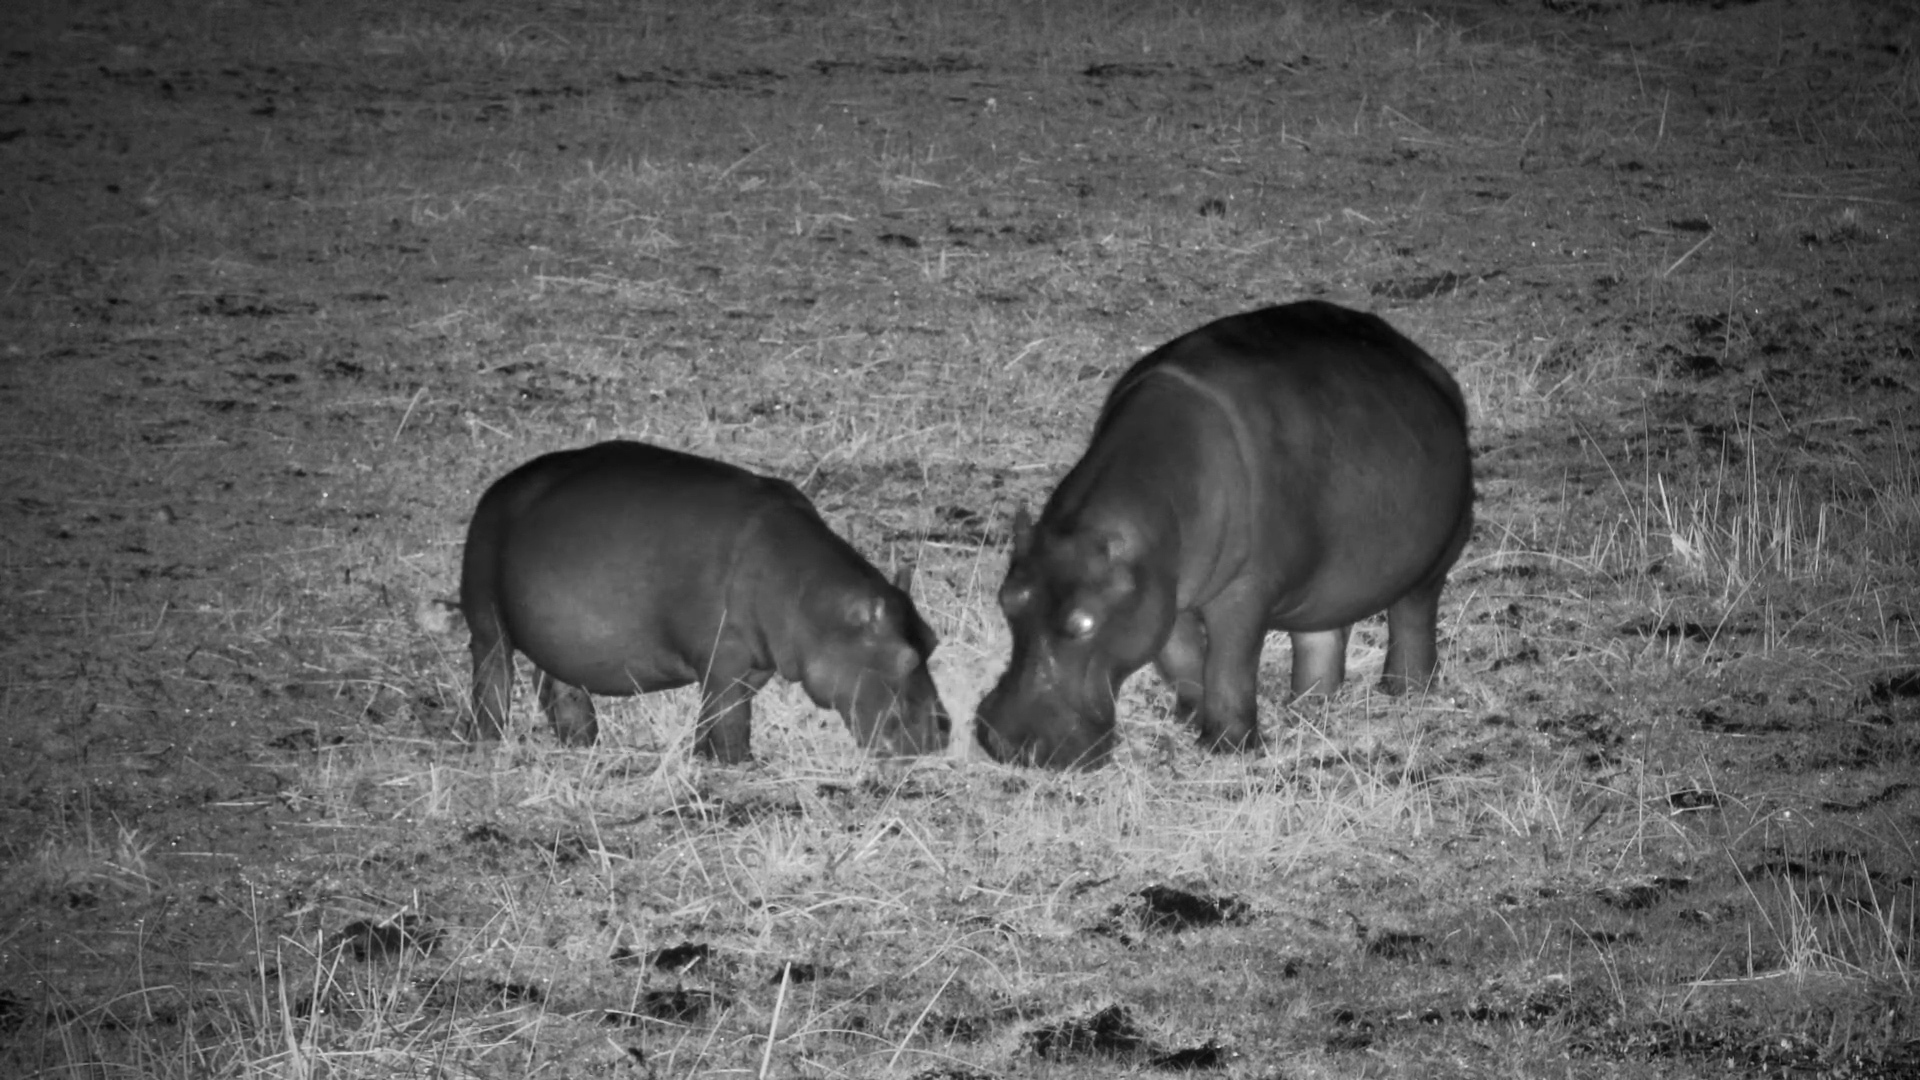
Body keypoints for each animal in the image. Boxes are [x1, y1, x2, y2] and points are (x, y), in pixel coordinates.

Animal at [458, 440, 952, 762]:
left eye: (932, 640)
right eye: (907, 658)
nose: (945, 730)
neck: (812, 603)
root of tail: (497, 488)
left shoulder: (752, 665)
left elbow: (716, 713)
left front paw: (704, 758)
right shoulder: (723, 655)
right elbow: (731, 719)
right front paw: (741, 765)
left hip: (558, 642)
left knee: (558, 687)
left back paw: (583, 744)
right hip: (485, 615)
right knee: (492, 678)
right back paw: (489, 742)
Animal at [975, 300, 1472, 769]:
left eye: (1083, 623)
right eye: (1007, 599)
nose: (1006, 742)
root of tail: (1429, 368)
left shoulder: (1242, 591)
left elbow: (1229, 664)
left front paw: (1227, 747)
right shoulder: (1162, 593)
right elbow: (1182, 657)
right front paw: (1191, 718)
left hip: (1434, 560)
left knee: (1412, 617)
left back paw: (1405, 691)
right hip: (1328, 581)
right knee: (1321, 635)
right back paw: (1308, 704)